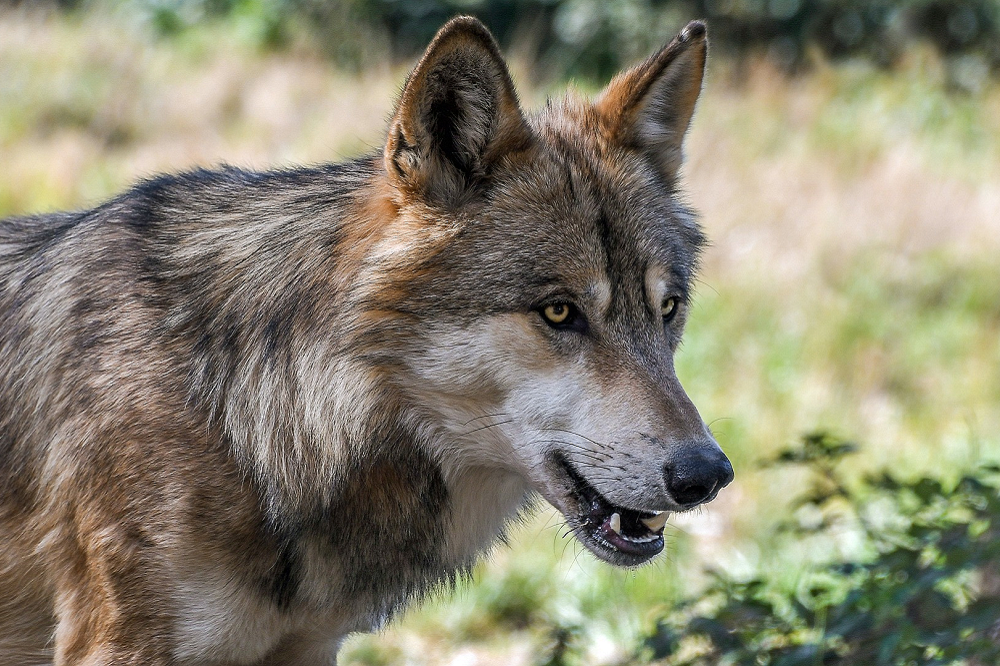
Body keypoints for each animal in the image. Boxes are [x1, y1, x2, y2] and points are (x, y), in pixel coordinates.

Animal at [0, 15, 736, 664]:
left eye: (668, 309)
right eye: (559, 313)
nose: (707, 475)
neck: (246, 415)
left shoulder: (309, 648)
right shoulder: (117, 645)